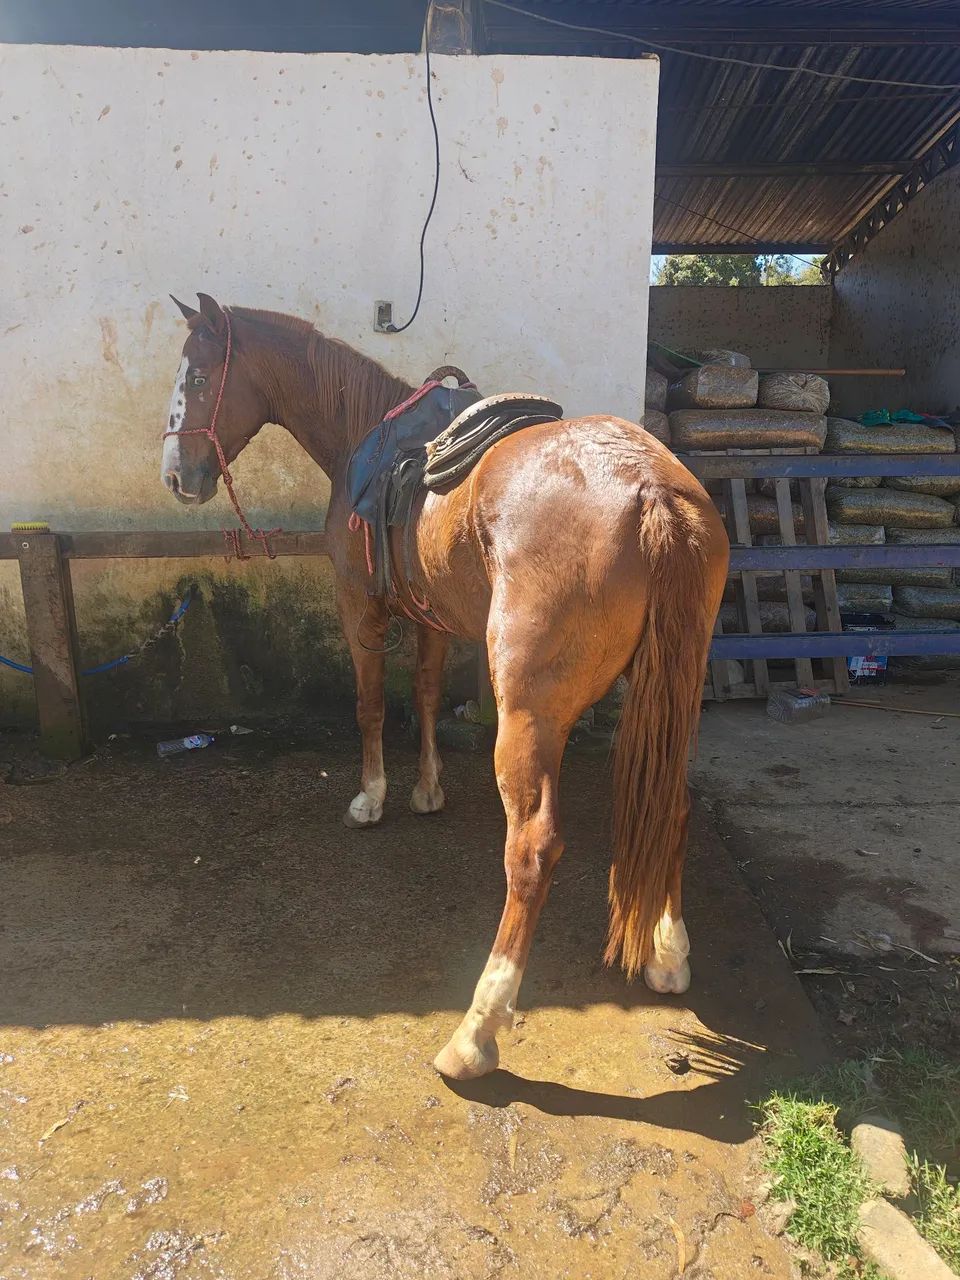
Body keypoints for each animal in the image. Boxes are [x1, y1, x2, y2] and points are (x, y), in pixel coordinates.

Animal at [160, 293, 729, 1081]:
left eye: (199, 372)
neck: (365, 433)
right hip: (672, 696)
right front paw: (426, 788)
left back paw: (476, 1030)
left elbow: (371, 704)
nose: (175, 475)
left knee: (532, 851)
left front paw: (371, 797)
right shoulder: (428, 616)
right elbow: (425, 694)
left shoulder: (359, 609)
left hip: (528, 716)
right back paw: (669, 955)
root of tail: (652, 490)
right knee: (671, 807)